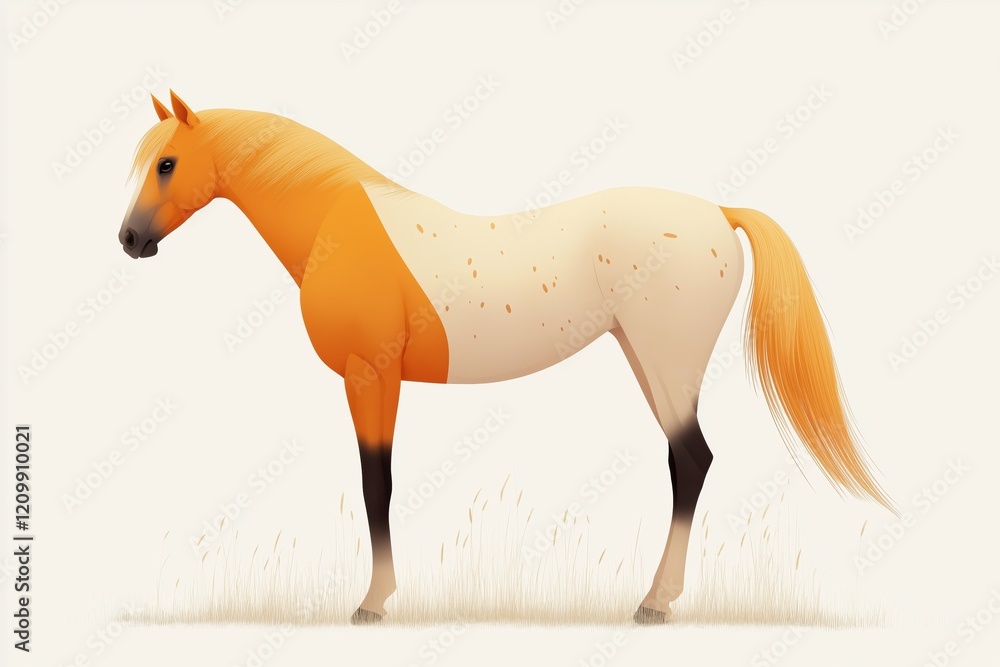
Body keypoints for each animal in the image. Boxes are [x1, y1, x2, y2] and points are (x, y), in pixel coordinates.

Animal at [118, 91, 891, 624]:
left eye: (167, 163)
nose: (129, 239)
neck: (337, 223)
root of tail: (719, 215)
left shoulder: (372, 375)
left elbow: (376, 483)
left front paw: (373, 601)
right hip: (646, 359)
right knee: (686, 460)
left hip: (667, 363)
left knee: (690, 459)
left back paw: (653, 602)